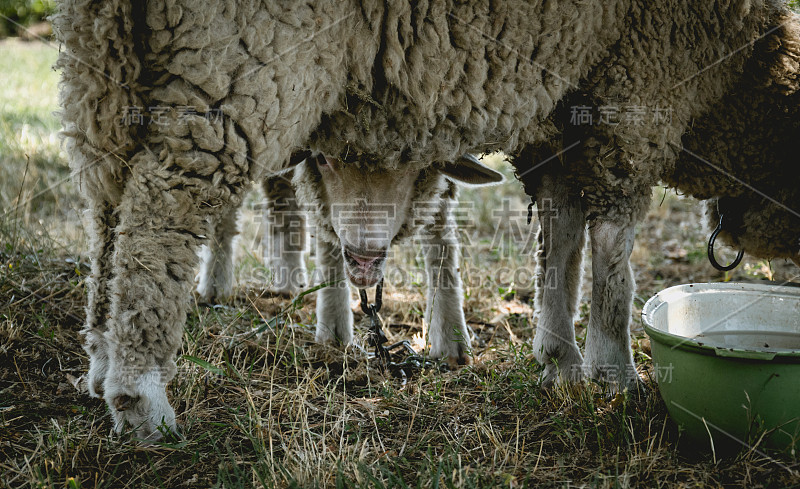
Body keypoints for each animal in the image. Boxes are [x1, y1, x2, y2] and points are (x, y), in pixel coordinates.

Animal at [196, 152, 504, 362]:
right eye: (322, 159)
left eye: (416, 165)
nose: (364, 260)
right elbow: (327, 236)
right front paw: (333, 330)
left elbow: (441, 235)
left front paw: (452, 336)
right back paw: (215, 282)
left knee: (280, 196)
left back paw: (288, 278)